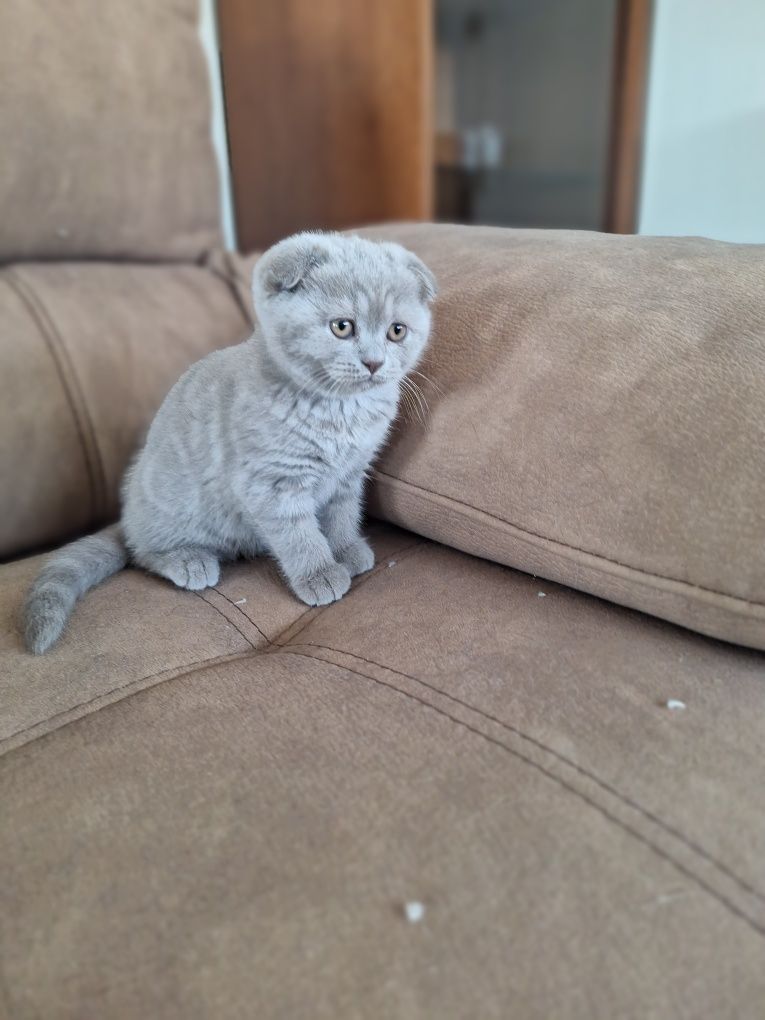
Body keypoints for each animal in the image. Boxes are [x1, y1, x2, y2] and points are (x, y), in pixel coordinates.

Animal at [22, 233, 436, 652]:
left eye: (397, 331)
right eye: (342, 327)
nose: (374, 363)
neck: (341, 412)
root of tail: (127, 516)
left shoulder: (350, 474)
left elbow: (342, 515)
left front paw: (347, 549)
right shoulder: (272, 483)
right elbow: (299, 535)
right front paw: (319, 573)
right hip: (170, 503)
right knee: (142, 552)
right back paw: (188, 560)